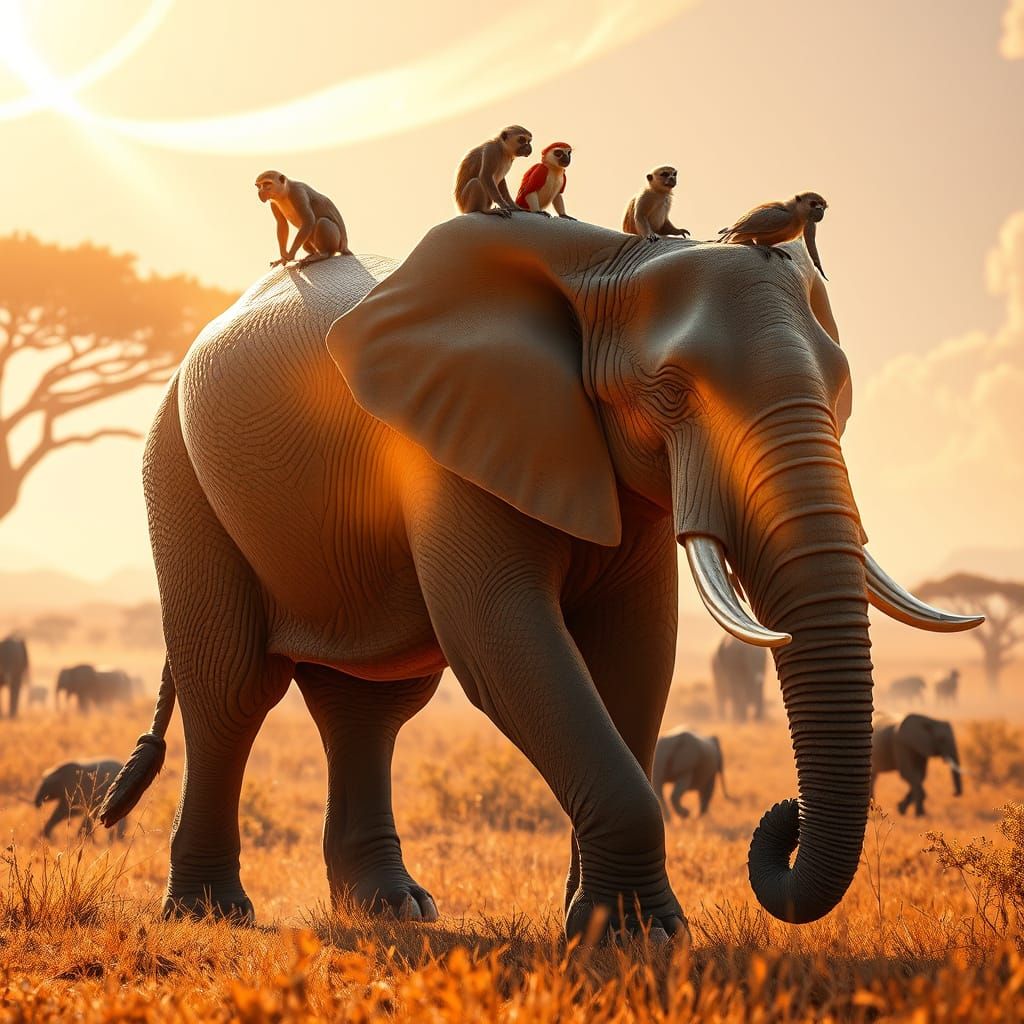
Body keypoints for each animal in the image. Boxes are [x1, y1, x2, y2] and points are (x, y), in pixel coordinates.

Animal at [101, 214, 982, 938]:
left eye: (842, 393)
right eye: (669, 394)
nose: (784, 819)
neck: (604, 265)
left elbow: (636, 652)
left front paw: (608, 926)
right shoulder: (450, 445)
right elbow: (502, 639)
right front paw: (638, 938)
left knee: (369, 705)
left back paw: (394, 910)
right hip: (176, 467)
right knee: (233, 689)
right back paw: (212, 914)